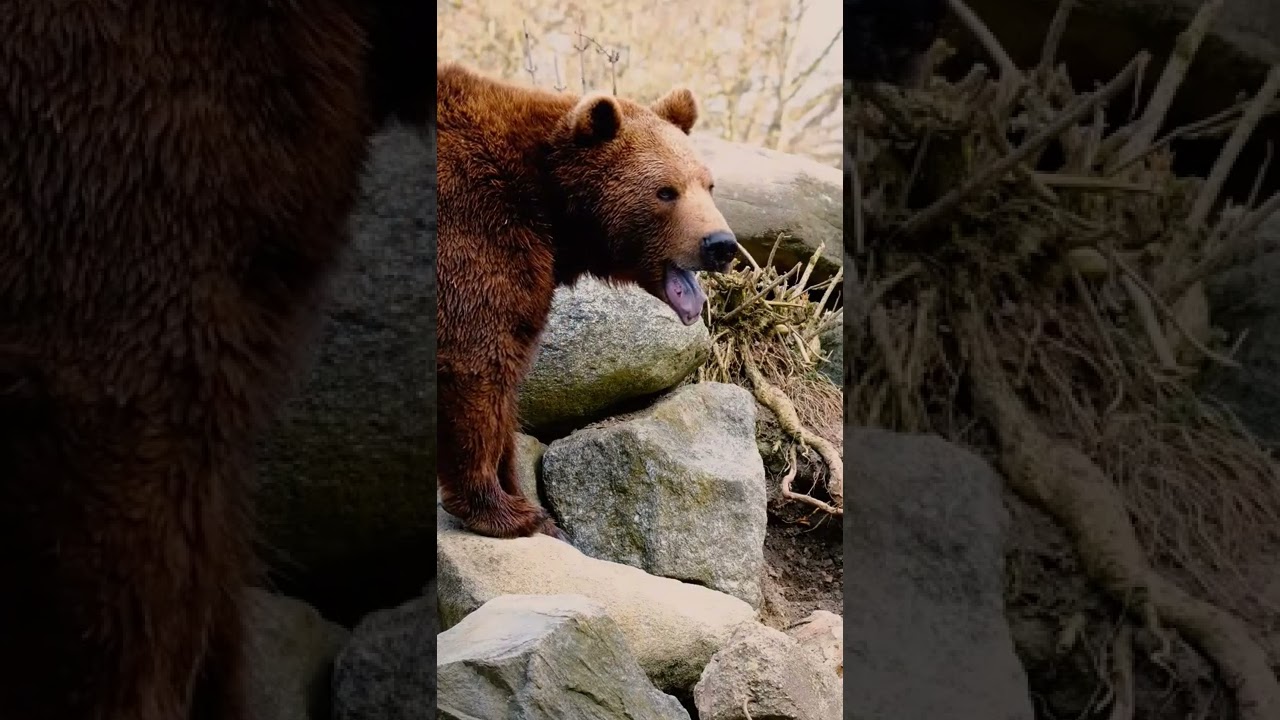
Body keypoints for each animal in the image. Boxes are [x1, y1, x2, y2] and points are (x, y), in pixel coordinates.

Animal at [436, 62, 739, 540]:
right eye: (665, 191)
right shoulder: (475, 224)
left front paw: (528, 502)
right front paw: (512, 513)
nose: (721, 244)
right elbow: (478, 360)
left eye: (708, 185)